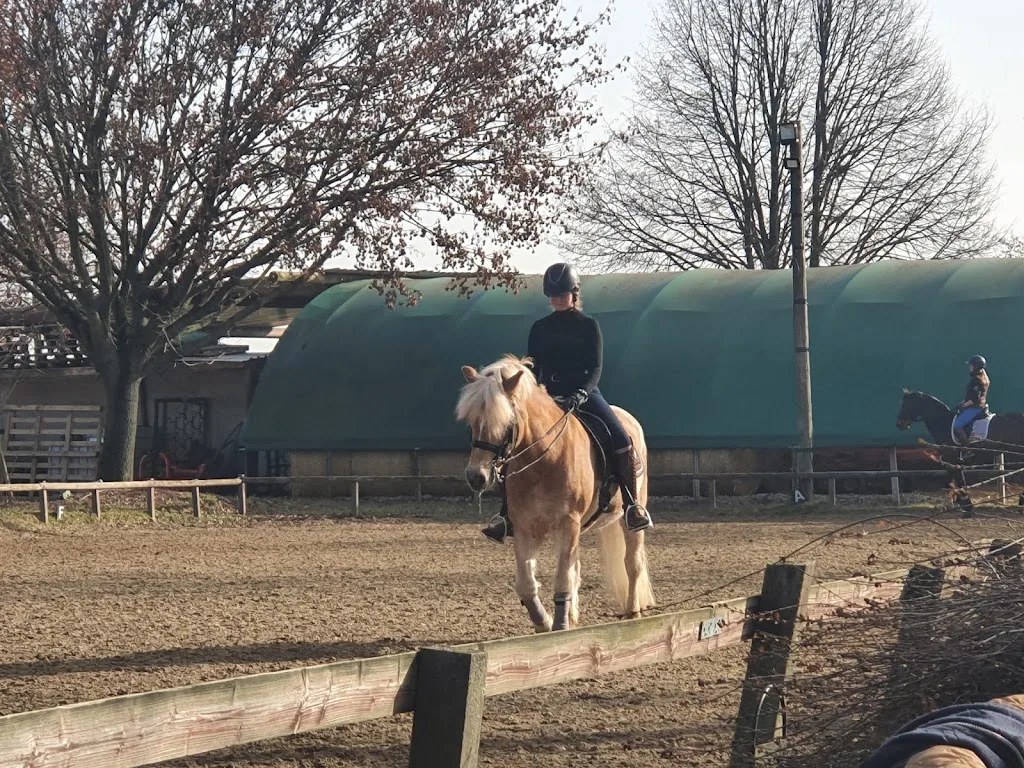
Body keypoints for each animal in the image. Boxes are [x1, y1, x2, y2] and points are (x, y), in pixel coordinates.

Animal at [455, 355, 655, 632]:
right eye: (472, 422)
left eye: (507, 423)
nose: (476, 477)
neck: (543, 458)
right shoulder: (525, 527)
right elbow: (527, 585)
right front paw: (545, 623)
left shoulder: (567, 522)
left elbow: (562, 579)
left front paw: (559, 626)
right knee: (576, 568)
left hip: (628, 515)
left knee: (632, 564)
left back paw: (632, 613)